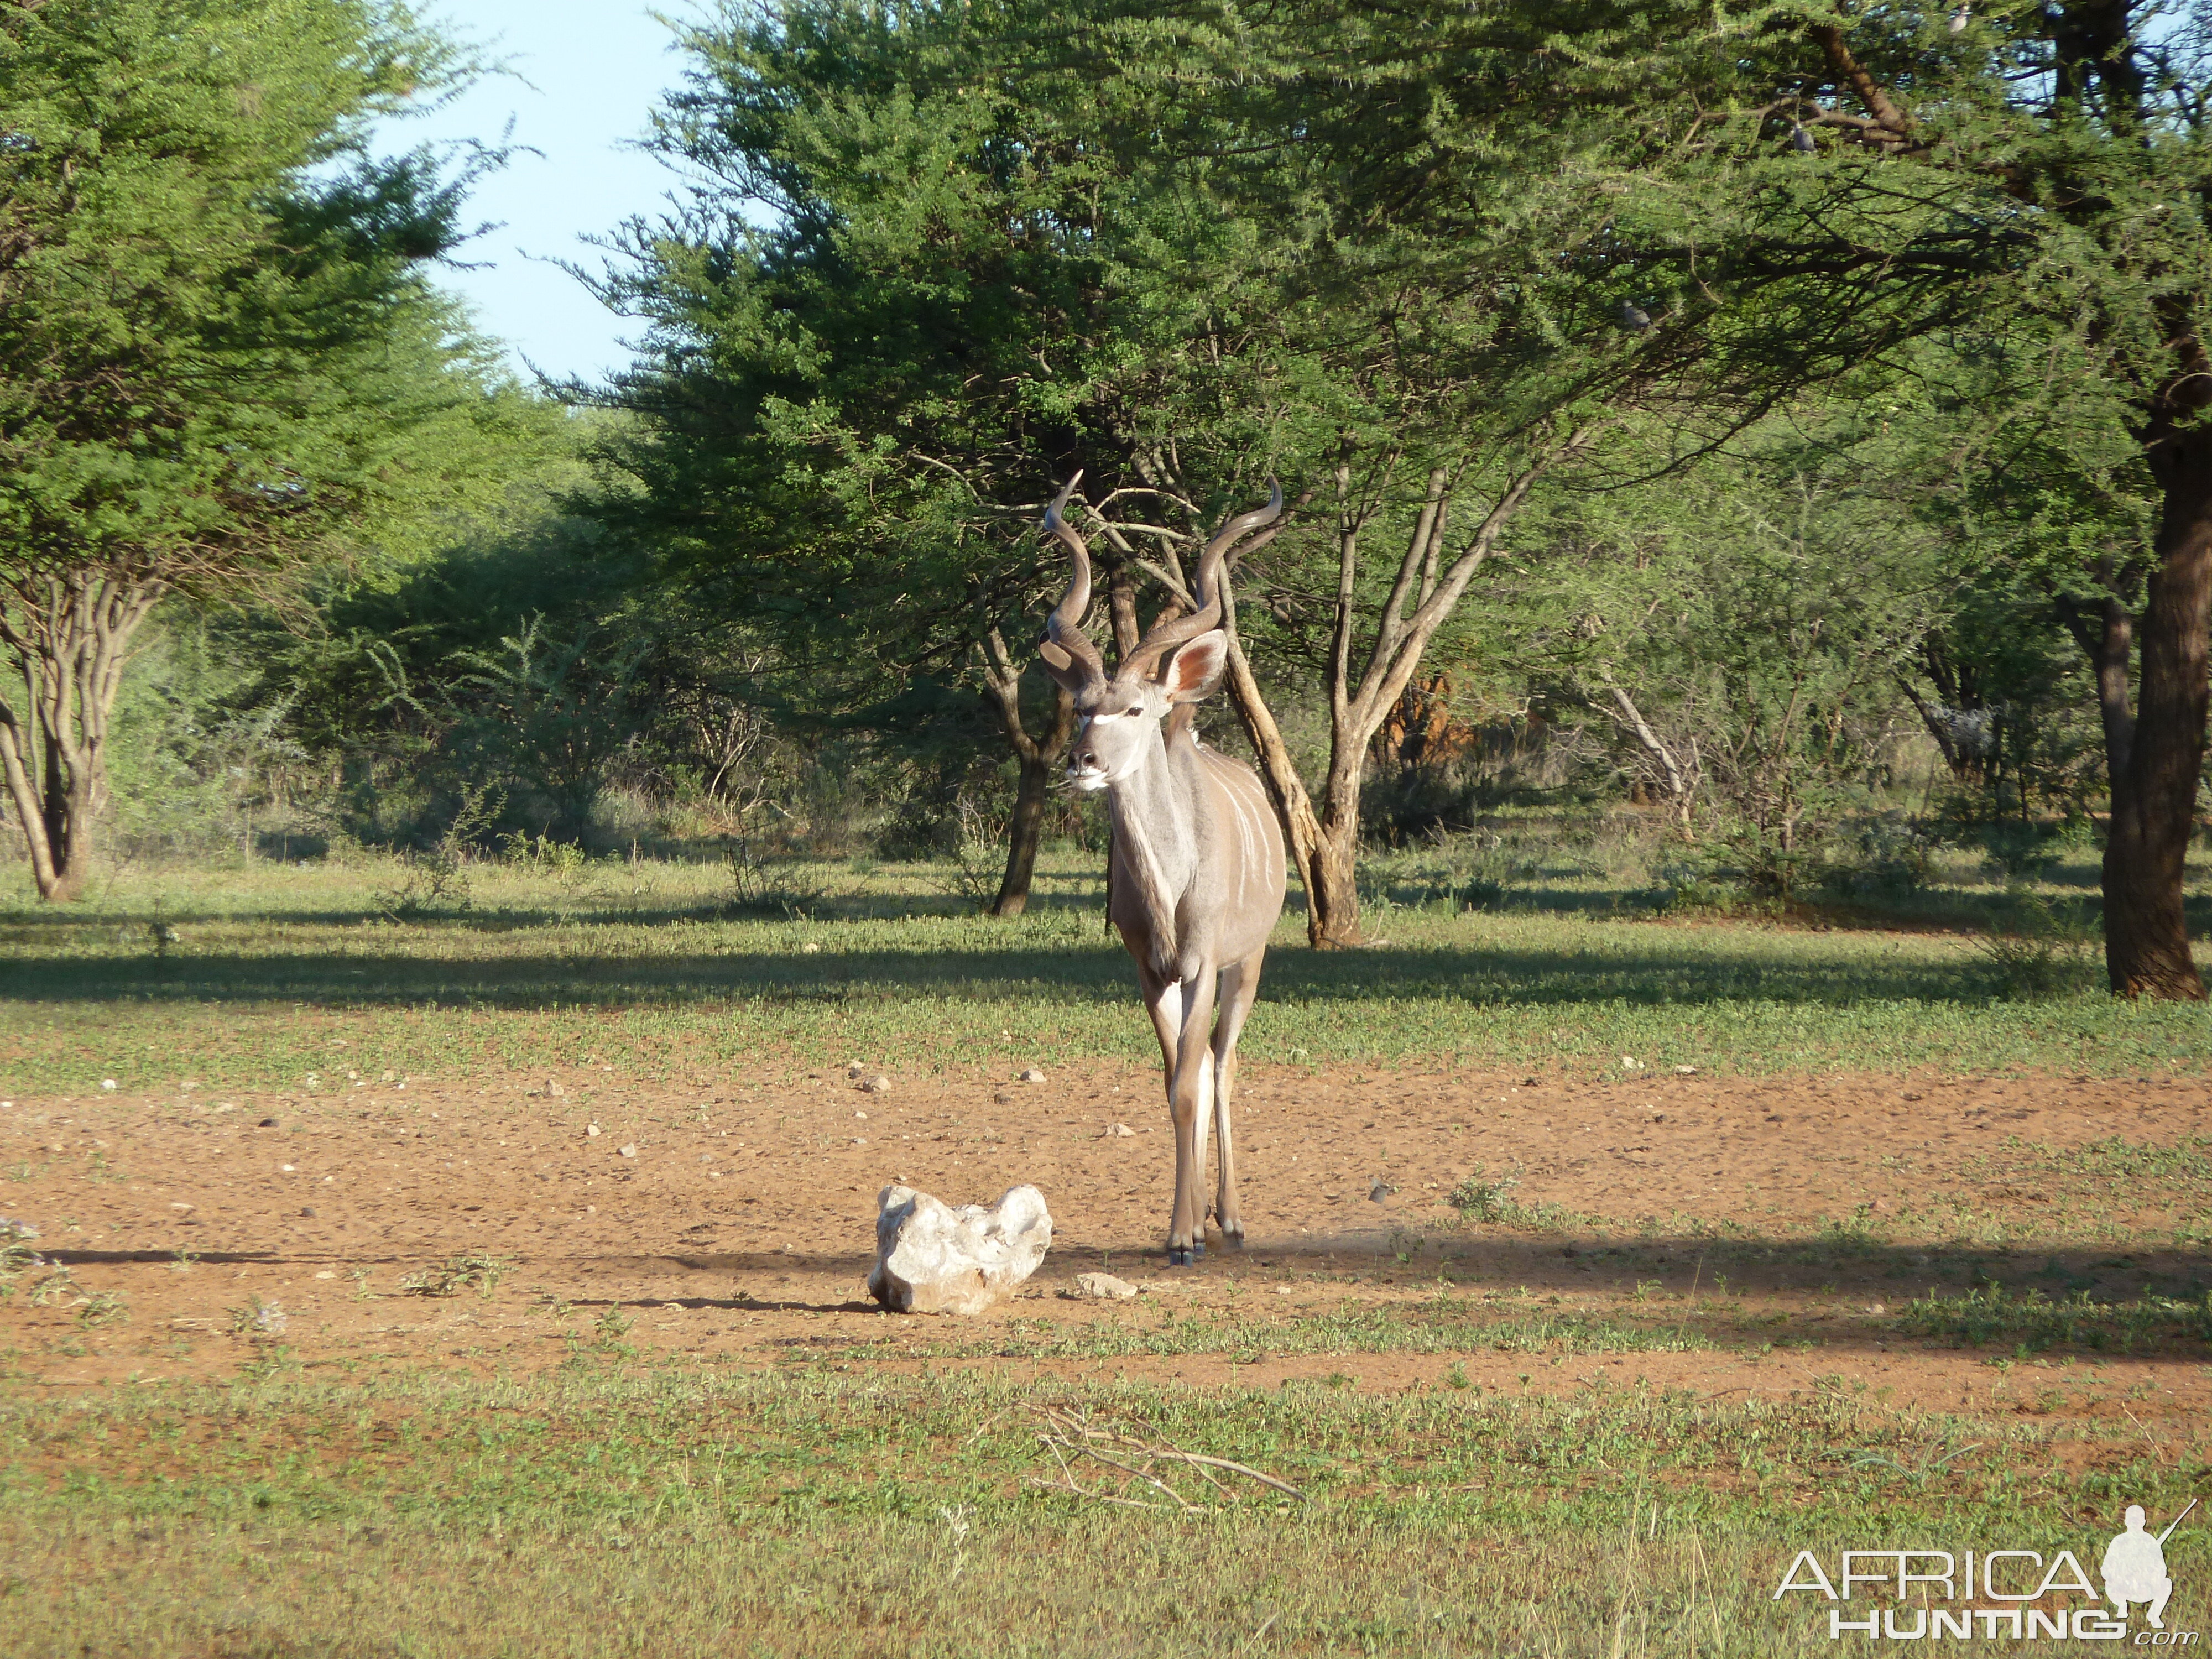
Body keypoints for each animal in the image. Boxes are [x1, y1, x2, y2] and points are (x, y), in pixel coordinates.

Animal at [1040, 473, 1292, 1265]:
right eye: (1082, 708)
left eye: (1136, 709)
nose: (1082, 762)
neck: (1168, 885)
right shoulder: (1149, 969)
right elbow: (1171, 1083)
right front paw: (1182, 1228)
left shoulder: (1205, 960)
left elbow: (1191, 1082)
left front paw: (1187, 1235)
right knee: (1205, 1067)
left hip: (1250, 961)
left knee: (1225, 1065)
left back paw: (1230, 1218)